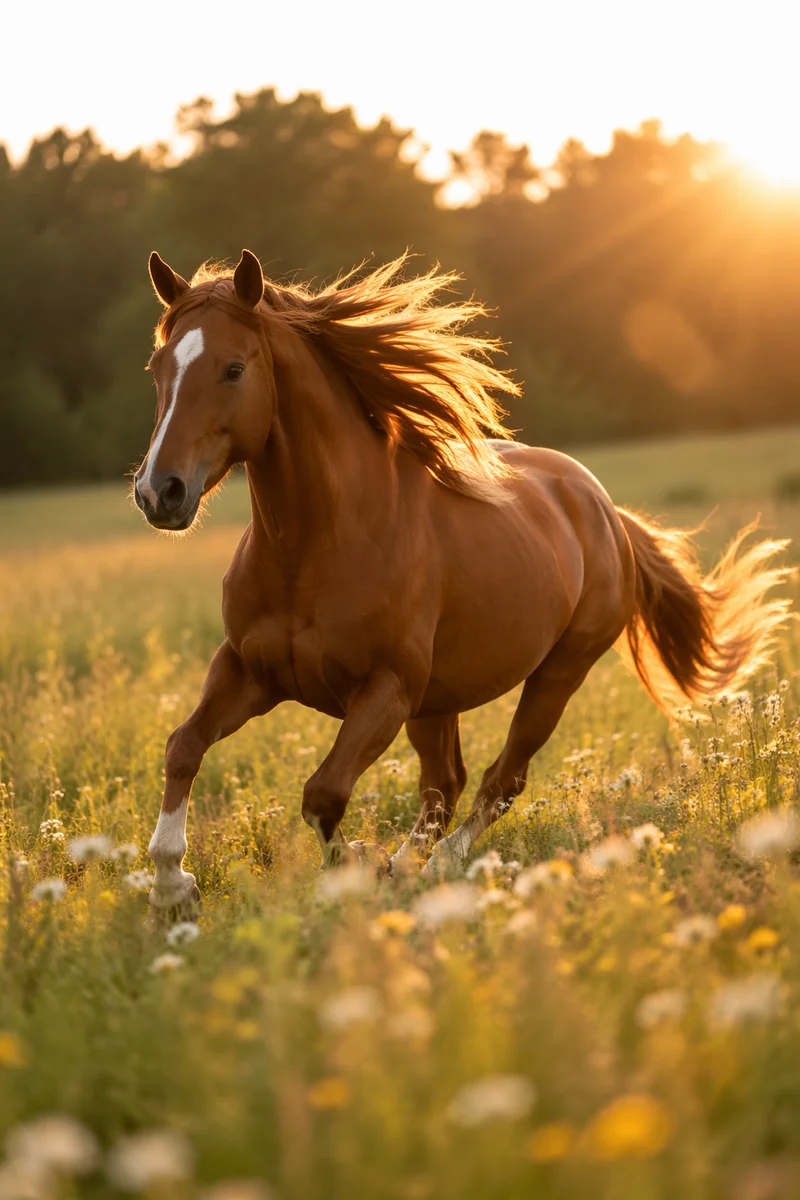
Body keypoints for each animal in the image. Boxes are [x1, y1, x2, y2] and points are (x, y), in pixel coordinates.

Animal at [134, 248, 790, 914]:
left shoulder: (386, 690)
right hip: (437, 700)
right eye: (157, 367)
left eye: (233, 368)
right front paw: (172, 888)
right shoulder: (248, 670)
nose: (160, 492)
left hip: (556, 674)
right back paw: (412, 865)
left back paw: (437, 865)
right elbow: (182, 747)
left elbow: (323, 794)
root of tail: (606, 511)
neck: (318, 546)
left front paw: (361, 868)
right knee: (446, 783)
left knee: (501, 780)